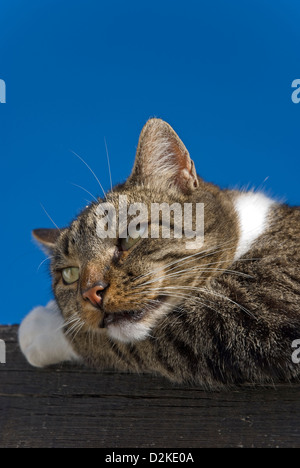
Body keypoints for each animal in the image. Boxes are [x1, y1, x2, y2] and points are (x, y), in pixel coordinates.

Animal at [18, 118, 300, 388]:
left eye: (131, 236)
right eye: (70, 274)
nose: (91, 292)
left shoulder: (255, 313)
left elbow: (120, 342)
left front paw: (43, 327)